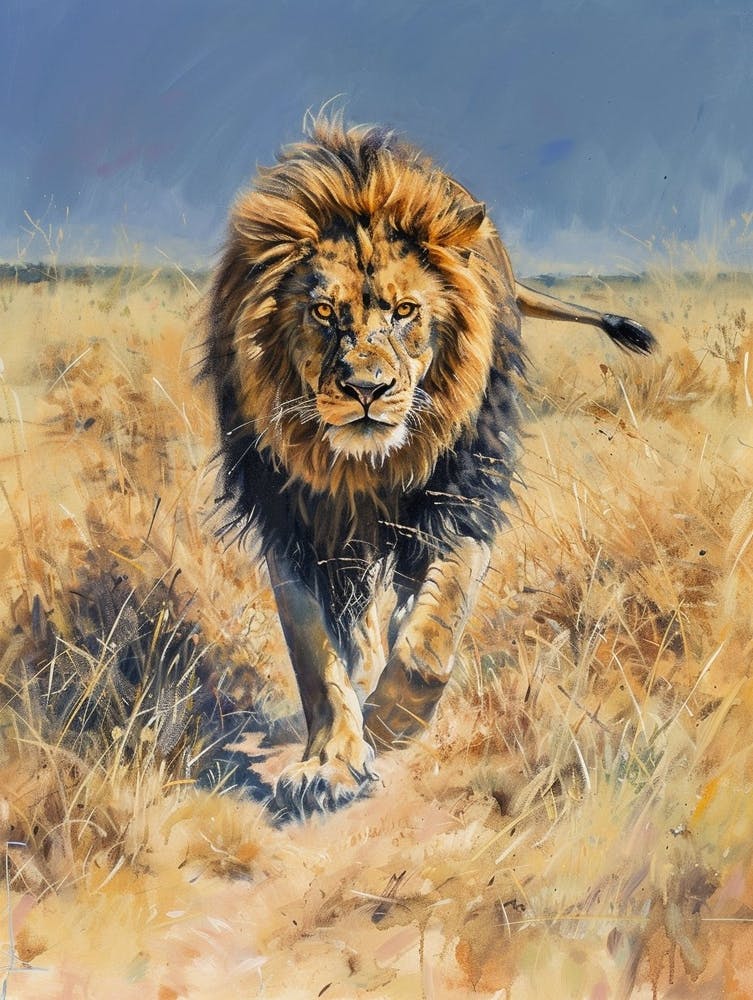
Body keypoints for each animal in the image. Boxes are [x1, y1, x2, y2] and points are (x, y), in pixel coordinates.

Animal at [203, 113, 655, 816]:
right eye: (323, 311)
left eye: (405, 311)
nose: (367, 388)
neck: (363, 469)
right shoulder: (291, 519)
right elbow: (316, 654)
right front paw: (330, 763)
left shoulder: (461, 499)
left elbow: (428, 645)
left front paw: (391, 724)